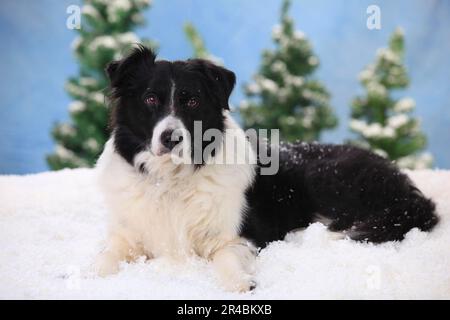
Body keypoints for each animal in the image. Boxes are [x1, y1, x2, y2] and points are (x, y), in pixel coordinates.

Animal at [94, 45, 436, 292]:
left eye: (191, 101)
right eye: (151, 98)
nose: (171, 138)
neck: (171, 179)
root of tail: (403, 183)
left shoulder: (240, 236)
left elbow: (227, 258)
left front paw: (240, 283)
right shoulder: (127, 236)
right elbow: (106, 257)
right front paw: (91, 276)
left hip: (323, 176)